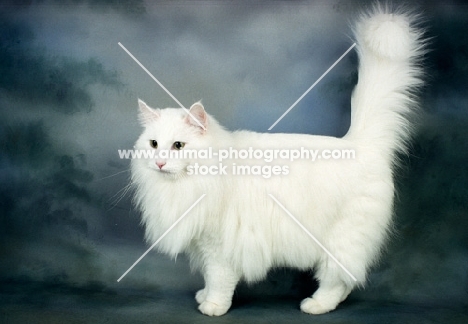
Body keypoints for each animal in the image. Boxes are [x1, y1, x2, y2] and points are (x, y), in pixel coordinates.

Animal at [130, 5, 426, 316]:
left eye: (178, 146)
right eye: (154, 145)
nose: (160, 163)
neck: (187, 185)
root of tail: (358, 144)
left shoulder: (219, 248)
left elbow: (219, 281)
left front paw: (213, 306)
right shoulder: (203, 244)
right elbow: (209, 280)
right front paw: (204, 296)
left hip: (341, 238)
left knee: (337, 281)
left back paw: (316, 305)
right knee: (346, 282)